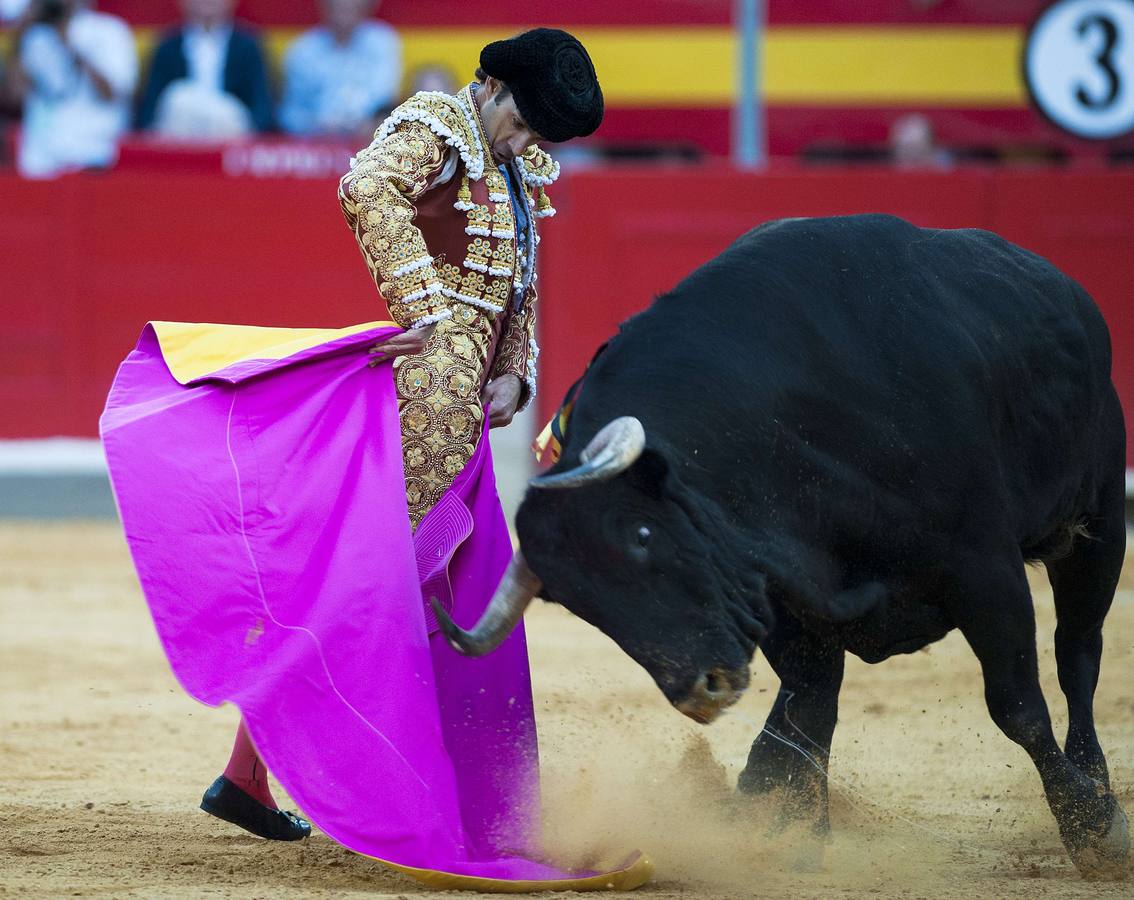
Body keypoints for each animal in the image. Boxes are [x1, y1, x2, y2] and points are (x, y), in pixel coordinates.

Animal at [433, 214, 1124, 875]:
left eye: (643, 535)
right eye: (580, 605)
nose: (702, 690)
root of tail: (1064, 287)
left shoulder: (983, 567)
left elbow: (1017, 704)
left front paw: (1089, 828)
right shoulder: (787, 597)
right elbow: (808, 709)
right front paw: (790, 839)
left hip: (1097, 523)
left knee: (1078, 654)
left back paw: (1104, 799)